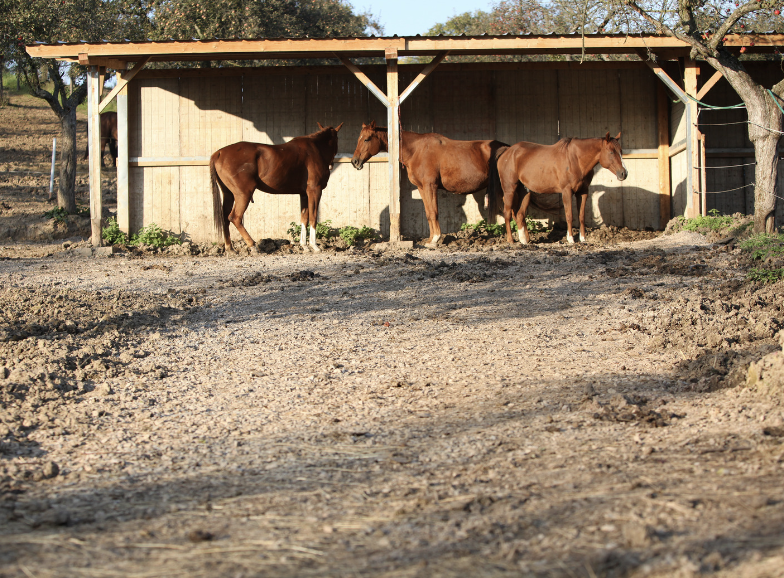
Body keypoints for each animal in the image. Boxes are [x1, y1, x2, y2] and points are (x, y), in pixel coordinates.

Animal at [210, 122, 342, 253]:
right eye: (337, 138)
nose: (332, 164)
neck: (315, 149)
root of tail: (219, 153)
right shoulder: (314, 190)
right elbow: (313, 217)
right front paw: (314, 246)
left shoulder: (304, 194)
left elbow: (304, 218)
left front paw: (304, 245)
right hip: (243, 194)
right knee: (235, 217)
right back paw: (252, 245)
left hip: (229, 194)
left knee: (225, 218)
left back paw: (230, 248)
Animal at [350, 120, 508, 244]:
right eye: (359, 138)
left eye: (367, 139)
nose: (355, 161)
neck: (416, 150)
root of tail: (507, 148)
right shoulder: (421, 188)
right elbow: (428, 213)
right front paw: (431, 239)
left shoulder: (430, 186)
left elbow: (433, 212)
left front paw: (436, 239)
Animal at [500, 132, 628, 243]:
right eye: (611, 152)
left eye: (620, 151)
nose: (624, 173)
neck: (576, 160)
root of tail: (508, 151)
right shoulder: (567, 191)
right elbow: (569, 215)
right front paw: (570, 239)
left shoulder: (583, 192)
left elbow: (581, 216)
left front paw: (583, 239)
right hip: (509, 189)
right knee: (507, 213)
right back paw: (511, 240)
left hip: (525, 192)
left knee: (520, 214)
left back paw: (524, 240)